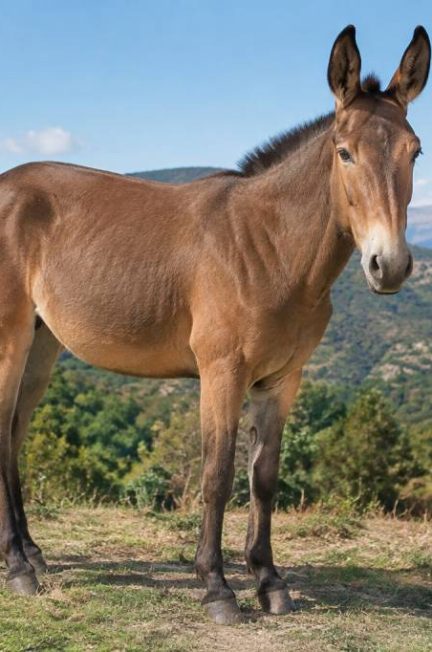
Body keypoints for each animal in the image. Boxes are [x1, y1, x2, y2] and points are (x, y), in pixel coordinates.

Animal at [0, 25, 429, 625]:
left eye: (415, 151)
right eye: (344, 152)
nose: (388, 266)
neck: (268, 248)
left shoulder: (282, 381)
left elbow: (264, 478)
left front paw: (270, 582)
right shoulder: (222, 373)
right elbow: (218, 475)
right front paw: (217, 587)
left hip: (42, 347)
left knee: (14, 435)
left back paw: (30, 554)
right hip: (9, 339)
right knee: (1, 433)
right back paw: (18, 567)